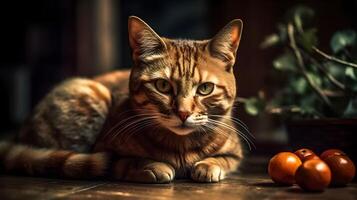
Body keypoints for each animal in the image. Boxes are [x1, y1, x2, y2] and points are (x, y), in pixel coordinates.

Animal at [0, 16, 245, 183]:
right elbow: (124, 161)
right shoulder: (107, 151)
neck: (181, 148)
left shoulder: (235, 153)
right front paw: (153, 166)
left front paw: (208, 166)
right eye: (163, 86)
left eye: (205, 88)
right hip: (89, 93)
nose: (183, 113)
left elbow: (223, 159)